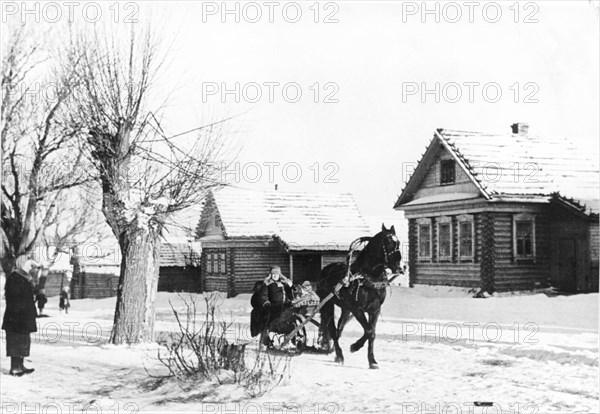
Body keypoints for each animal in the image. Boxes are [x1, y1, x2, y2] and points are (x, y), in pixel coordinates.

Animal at [314, 225, 404, 370]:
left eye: (399, 243)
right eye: (388, 242)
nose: (399, 267)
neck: (369, 278)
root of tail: (325, 270)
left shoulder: (375, 310)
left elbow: (372, 333)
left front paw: (372, 360)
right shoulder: (357, 309)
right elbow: (368, 330)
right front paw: (354, 347)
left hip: (346, 309)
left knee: (339, 329)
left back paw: (336, 353)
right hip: (328, 304)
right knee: (333, 330)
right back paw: (339, 355)